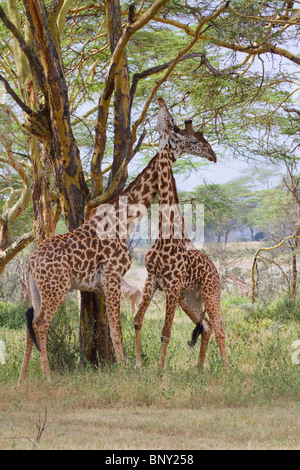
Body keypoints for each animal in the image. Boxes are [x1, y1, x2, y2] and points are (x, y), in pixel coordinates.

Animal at [135, 99, 226, 370]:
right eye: (196, 141)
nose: (213, 156)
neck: (166, 234)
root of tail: (215, 271)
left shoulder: (172, 286)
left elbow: (166, 332)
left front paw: (160, 371)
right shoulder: (152, 280)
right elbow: (137, 321)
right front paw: (138, 365)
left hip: (210, 293)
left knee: (220, 330)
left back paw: (226, 371)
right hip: (190, 299)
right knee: (206, 327)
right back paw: (199, 370)